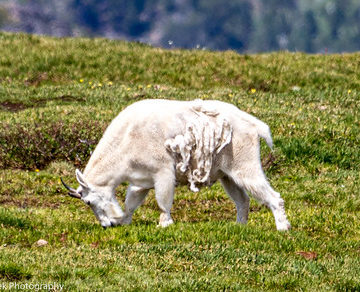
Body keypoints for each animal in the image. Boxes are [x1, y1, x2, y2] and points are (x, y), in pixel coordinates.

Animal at [60, 100, 292, 230]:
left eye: (88, 201)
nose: (106, 225)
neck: (125, 139)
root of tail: (255, 126)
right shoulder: (141, 178)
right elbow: (131, 202)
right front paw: (123, 221)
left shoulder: (162, 170)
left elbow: (163, 199)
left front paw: (164, 224)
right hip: (227, 173)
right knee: (242, 199)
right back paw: (239, 226)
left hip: (244, 162)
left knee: (270, 194)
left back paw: (283, 227)